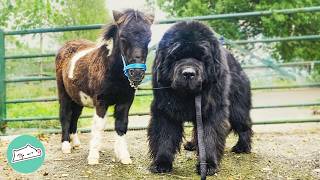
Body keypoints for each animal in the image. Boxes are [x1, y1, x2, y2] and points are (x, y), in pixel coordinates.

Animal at [54, 9, 154, 165]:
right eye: (123, 37)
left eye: (149, 39)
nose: (137, 73)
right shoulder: (101, 102)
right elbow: (99, 126)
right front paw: (93, 158)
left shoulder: (125, 102)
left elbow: (121, 124)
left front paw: (123, 156)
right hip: (63, 94)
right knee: (65, 115)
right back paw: (66, 146)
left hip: (78, 98)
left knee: (75, 116)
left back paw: (75, 143)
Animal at [148, 20, 252, 174]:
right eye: (176, 56)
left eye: (201, 58)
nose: (188, 73)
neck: (186, 95)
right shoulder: (164, 109)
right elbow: (164, 136)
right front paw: (161, 162)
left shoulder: (212, 109)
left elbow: (209, 136)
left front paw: (208, 164)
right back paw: (192, 144)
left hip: (237, 106)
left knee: (243, 124)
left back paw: (242, 147)